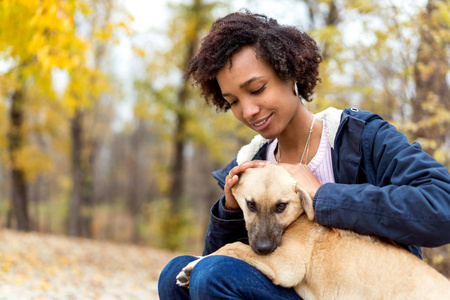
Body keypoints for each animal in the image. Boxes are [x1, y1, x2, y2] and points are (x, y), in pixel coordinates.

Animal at [177, 165, 450, 298]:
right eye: (250, 204)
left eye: (281, 206)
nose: (264, 249)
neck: (299, 218)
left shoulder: (287, 263)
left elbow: (231, 246)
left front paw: (194, 265)